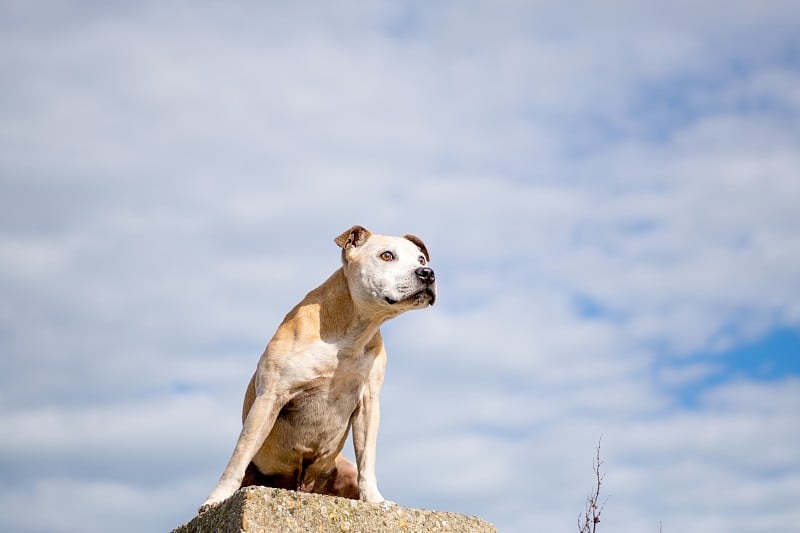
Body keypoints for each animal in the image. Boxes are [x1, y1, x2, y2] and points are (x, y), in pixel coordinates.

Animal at [200, 223, 438, 512]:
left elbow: (367, 460)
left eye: (421, 259)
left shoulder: (368, 404)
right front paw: (217, 498)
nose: (427, 273)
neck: (350, 333)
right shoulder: (270, 397)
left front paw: (374, 499)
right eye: (386, 256)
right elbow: (240, 453)